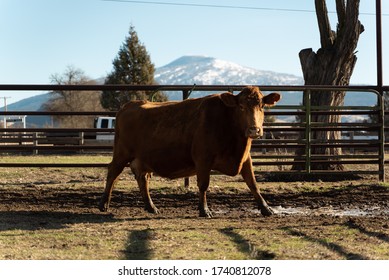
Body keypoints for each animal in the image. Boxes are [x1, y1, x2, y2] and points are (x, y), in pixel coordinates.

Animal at [98, 86, 280, 218]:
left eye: (262, 106)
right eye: (241, 107)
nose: (254, 130)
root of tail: (129, 105)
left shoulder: (246, 159)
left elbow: (253, 184)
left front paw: (266, 208)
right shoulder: (203, 159)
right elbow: (203, 184)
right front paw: (204, 210)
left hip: (142, 160)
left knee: (142, 179)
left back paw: (151, 207)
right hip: (122, 154)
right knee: (112, 172)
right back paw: (103, 204)